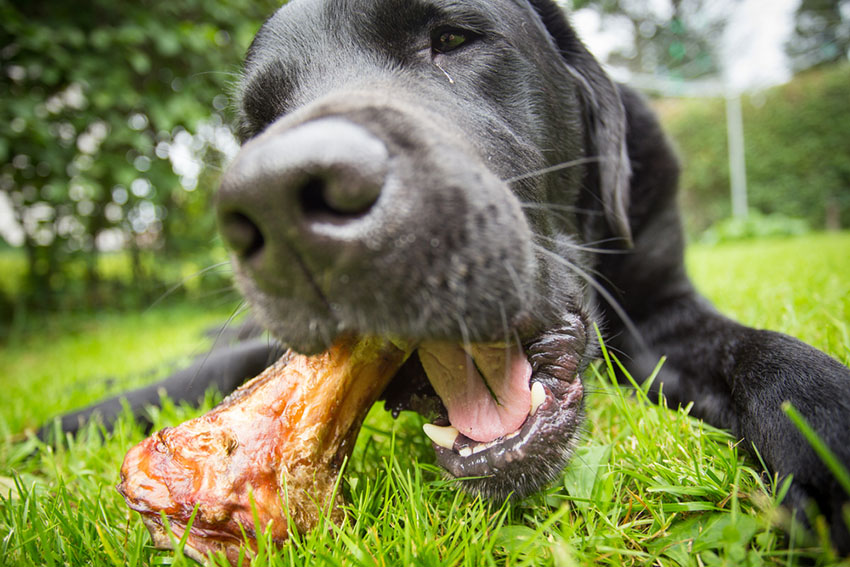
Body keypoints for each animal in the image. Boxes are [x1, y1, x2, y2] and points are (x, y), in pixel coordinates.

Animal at [48, 0, 848, 552]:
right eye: (256, 124)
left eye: (455, 38)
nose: (278, 202)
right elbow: (189, 379)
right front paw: (58, 426)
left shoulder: (665, 314)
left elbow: (773, 358)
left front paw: (827, 430)